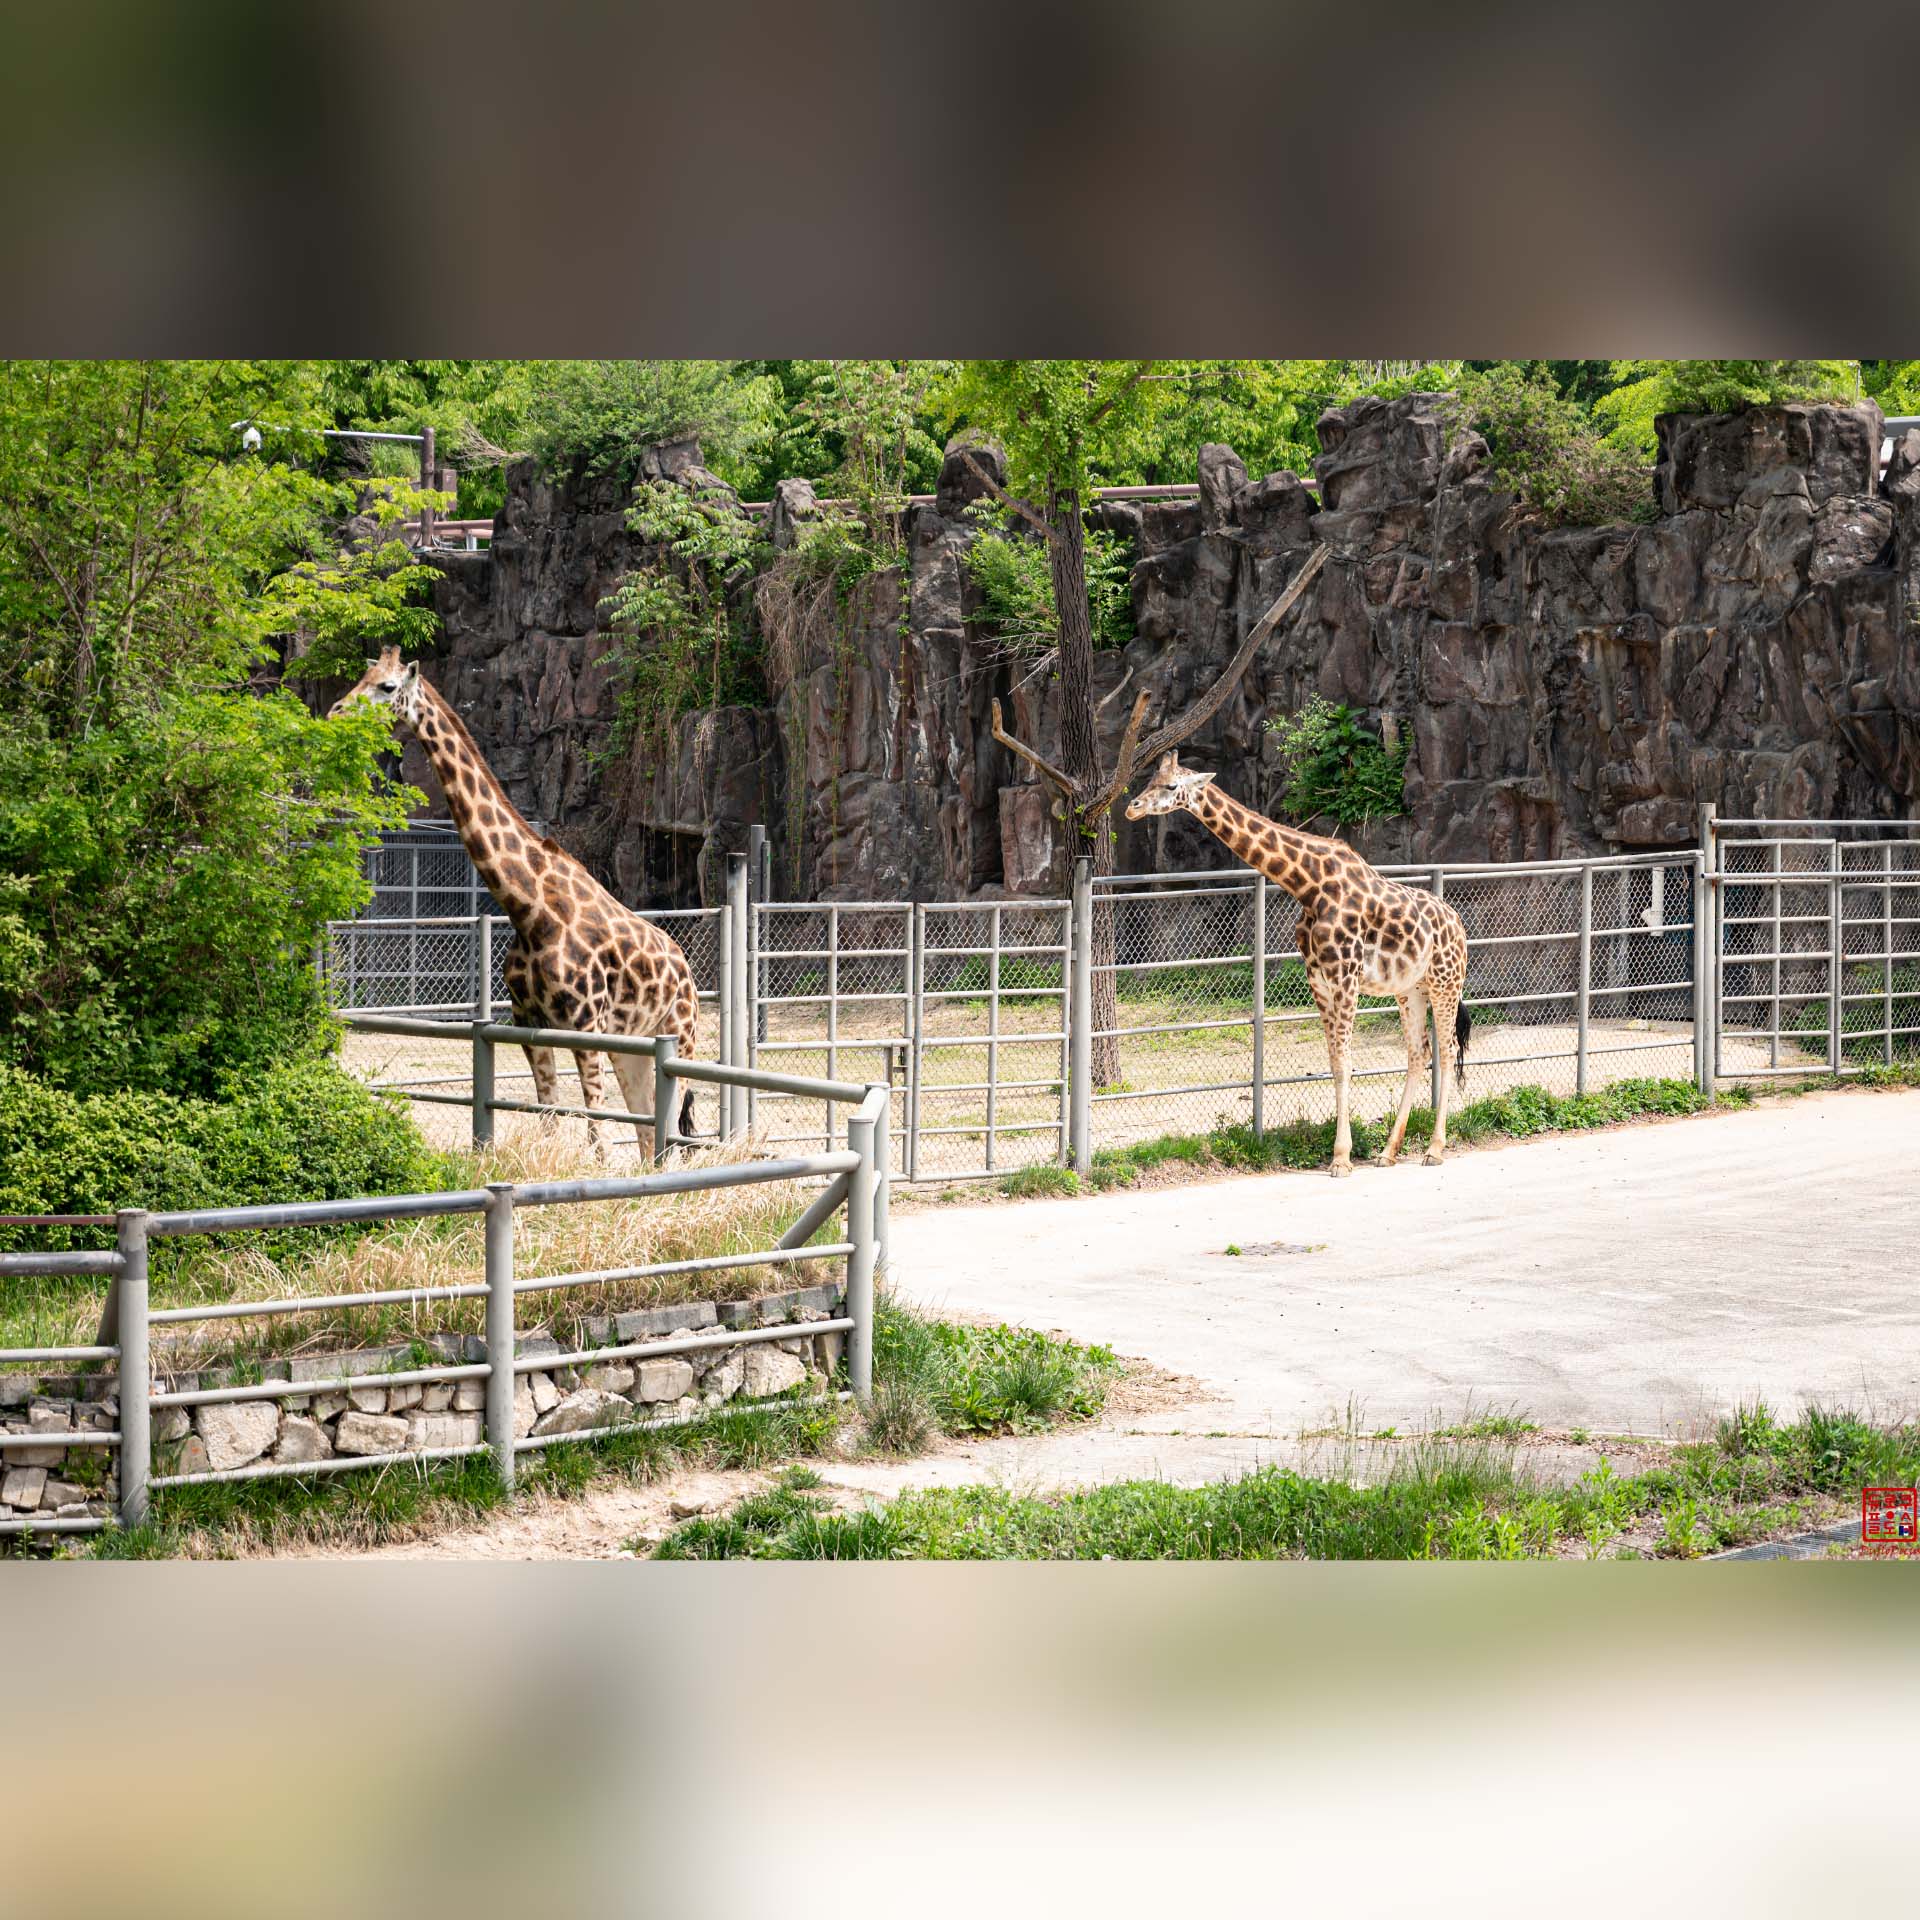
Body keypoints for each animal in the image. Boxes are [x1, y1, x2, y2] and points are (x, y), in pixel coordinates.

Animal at [331, 649, 701, 1153]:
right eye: (362, 676)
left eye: (386, 686)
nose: (336, 711)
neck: (529, 910)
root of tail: (686, 970)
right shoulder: (530, 1024)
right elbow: (549, 1118)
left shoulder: (586, 1026)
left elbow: (595, 1135)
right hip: (637, 1045)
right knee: (648, 1137)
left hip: (679, 1036)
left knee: (667, 1136)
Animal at [1126, 752, 1471, 1176]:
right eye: (1149, 780)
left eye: (1172, 786)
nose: (1131, 807)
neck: (1309, 886)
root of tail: (1458, 925)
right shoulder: (1318, 980)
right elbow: (1334, 1062)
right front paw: (1343, 1153)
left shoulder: (1345, 976)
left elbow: (1345, 1062)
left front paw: (1341, 1159)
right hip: (1410, 990)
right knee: (1418, 1052)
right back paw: (1389, 1151)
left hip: (1445, 981)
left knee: (1448, 1048)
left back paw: (1435, 1149)